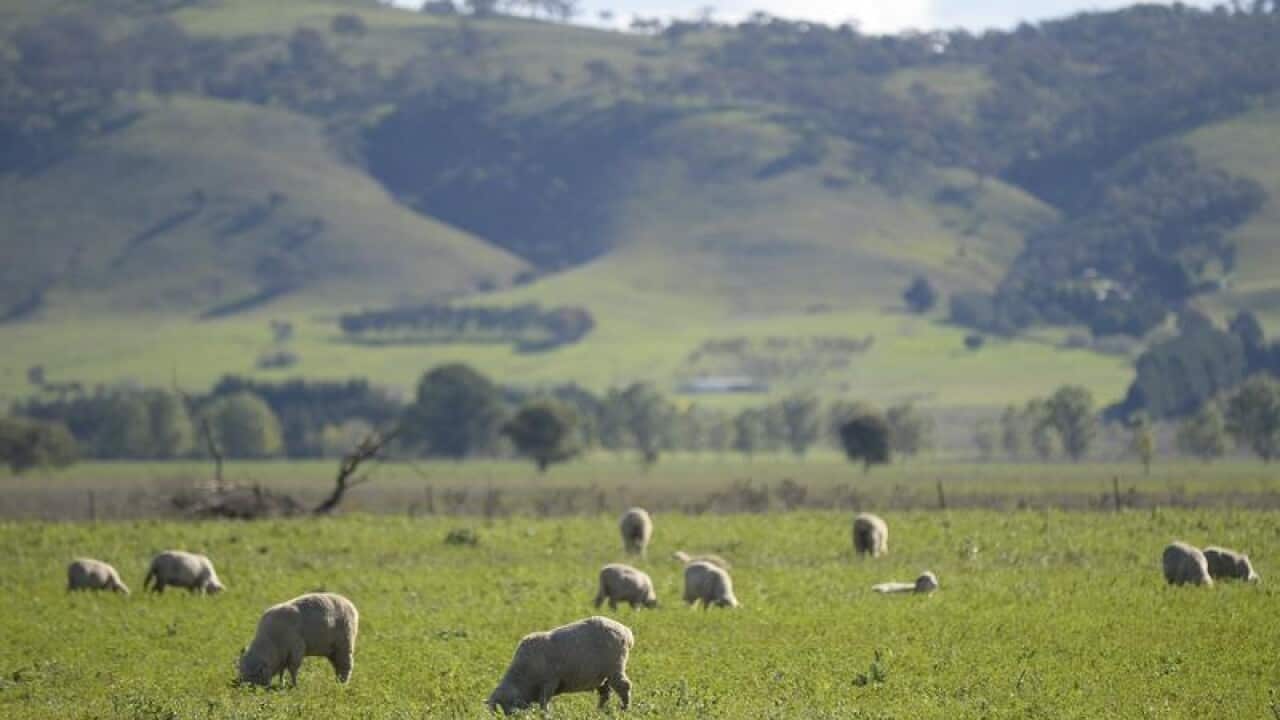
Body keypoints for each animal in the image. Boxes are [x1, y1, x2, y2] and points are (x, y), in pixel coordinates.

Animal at [487, 616, 634, 714]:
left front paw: (545, 715)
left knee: (624, 686)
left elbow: (544, 701)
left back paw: (624, 709)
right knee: (605, 693)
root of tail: (626, 632)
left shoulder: (550, 682)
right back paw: (599, 711)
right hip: (602, 675)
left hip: (615, 666)